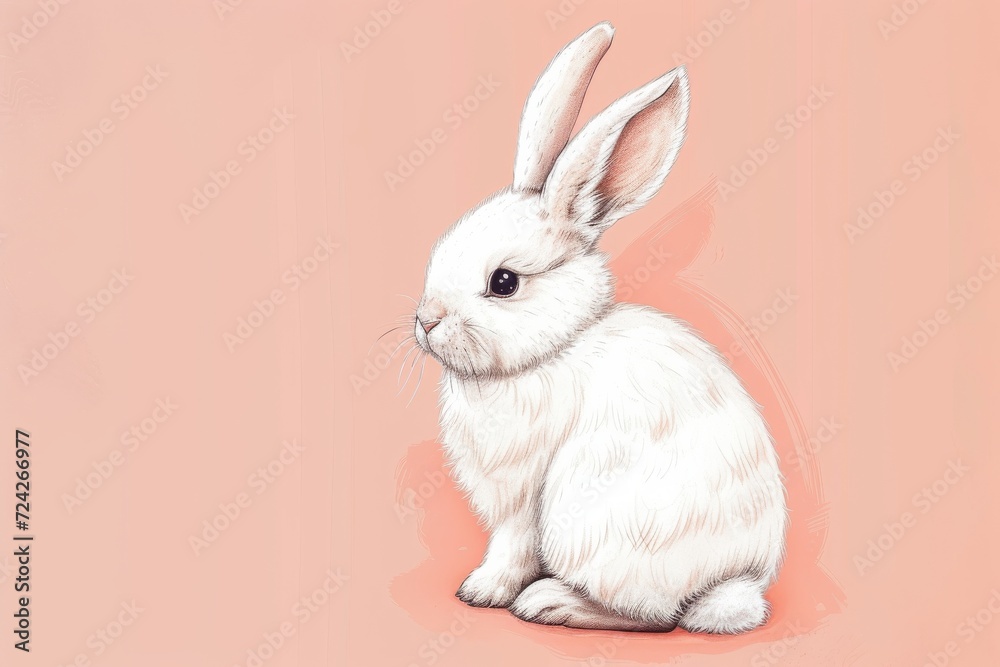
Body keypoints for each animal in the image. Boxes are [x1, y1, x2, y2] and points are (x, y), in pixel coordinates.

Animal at [411, 21, 787, 634]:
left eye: (504, 282)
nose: (426, 321)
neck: (552, 350)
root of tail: (736, 582)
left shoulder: (521, 502)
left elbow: (510, 548)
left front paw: (481, 591)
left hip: (590, 513)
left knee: (653, 616)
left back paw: (552, 603)